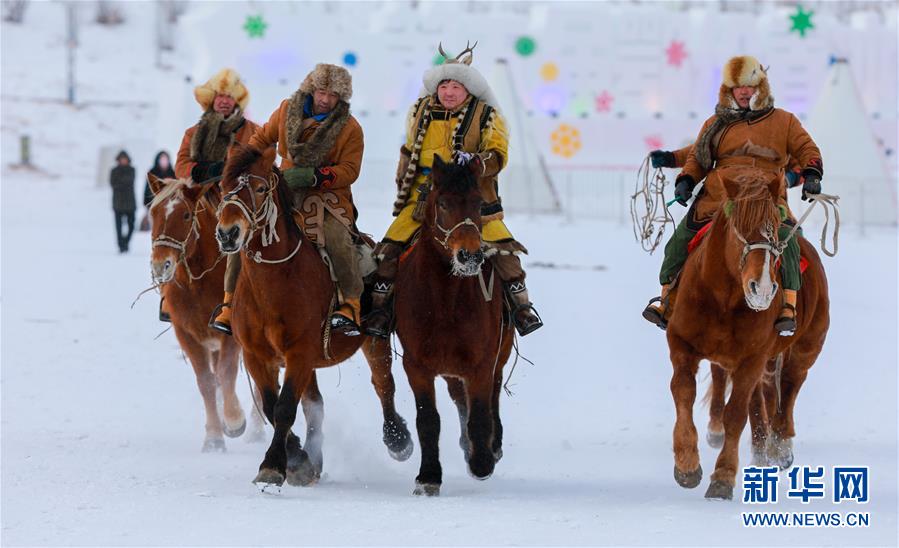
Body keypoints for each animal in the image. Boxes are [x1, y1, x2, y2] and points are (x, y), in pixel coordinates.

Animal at [148, 174, 264, 450]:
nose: (160, 265)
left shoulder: (229, 335)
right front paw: (214, 436)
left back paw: (256, 429)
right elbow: (207, 382)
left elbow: (226, 373)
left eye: (186, 215)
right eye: (153, 213)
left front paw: (233, 420)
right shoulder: (187, 335)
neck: (199, 283)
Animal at [214, 146, 414, 488]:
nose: (228, 234)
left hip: (373, 341)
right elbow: (272, 405)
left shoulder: (300, 352)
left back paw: (397, 439)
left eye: (259, 188)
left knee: (383, 384)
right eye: (225, 187)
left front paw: (274, 465)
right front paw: (299, 461)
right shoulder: (257, 355)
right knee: (315, 404)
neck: (275, 284)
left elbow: (284, 407)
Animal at [394, 154, 512, 496]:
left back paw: (491, 446)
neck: (445, 303)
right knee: (459, 398)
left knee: (492, 395)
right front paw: (428, 477)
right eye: (443, 203)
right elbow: (428, 420)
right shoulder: (416, 365)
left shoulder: (482, 362)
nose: (469, 256)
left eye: (477, 203)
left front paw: (482, 462)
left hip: (498, 355)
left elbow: (481, 414)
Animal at [668, 172, 828, 500]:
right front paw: (687, 465)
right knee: (762, 395)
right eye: (738, 228)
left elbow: (736, 414)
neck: (723, 299)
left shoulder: (752, 358)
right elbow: (683, 393)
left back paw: (780, 447)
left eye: (775, 230)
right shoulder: (682, 344)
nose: (762, 288)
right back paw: (760, 448)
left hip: (806, 348)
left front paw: (723, 477)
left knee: (789, 387)